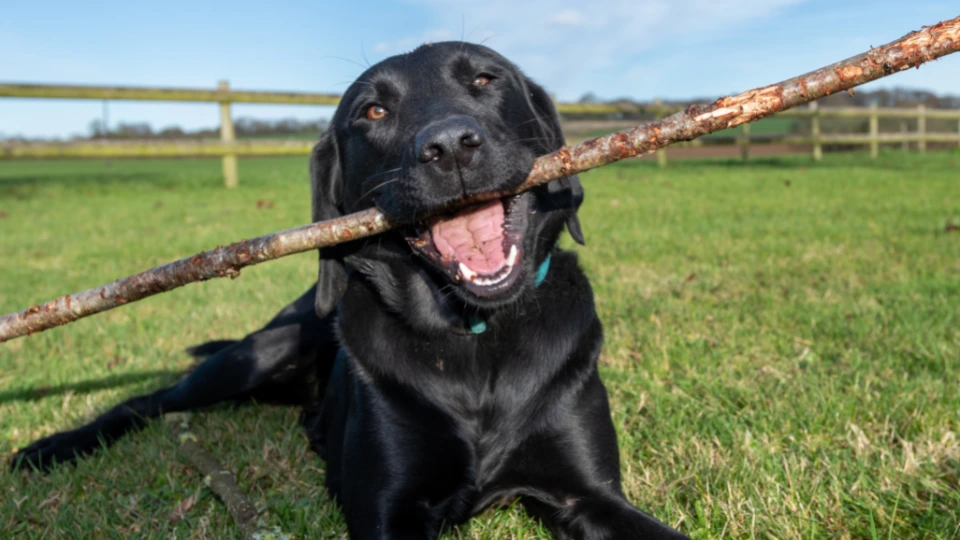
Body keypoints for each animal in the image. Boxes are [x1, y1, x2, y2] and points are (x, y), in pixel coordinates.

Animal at [15, 43, 688, 540]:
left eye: (484, 78)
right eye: (373, 112)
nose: (450, 147)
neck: (473, 337)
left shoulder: (589, 496)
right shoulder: (390, 511)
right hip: (260, 352)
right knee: (151, 400)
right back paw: (50, 446)